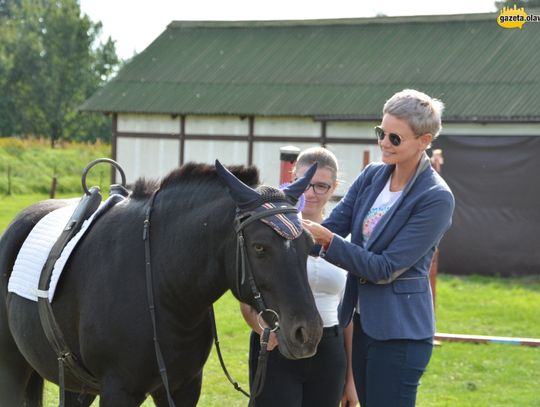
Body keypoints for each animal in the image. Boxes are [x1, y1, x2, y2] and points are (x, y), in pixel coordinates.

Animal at [0, 161, 320, 406]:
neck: (164, 288)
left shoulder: (183, 388)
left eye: (309, 244)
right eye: (259, 247)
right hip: (12, 369)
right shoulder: (118, 391)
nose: (308, 332)